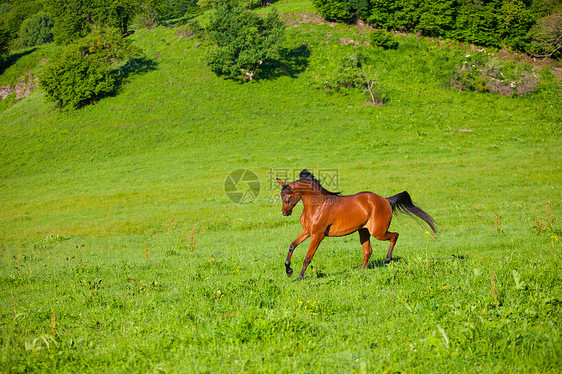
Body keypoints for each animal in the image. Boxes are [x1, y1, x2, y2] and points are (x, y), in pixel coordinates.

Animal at [274, 169, 436, 280]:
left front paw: (299, 277)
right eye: (281, 195)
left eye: (288, 196)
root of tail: (385, 200)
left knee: (395, 235)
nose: (285, 213)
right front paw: (289, 271)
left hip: (378, 232)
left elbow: (308, 257)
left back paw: (387, 259)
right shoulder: (307, 231)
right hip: (363, 231)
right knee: (368, 251)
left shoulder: (317, 236)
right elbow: (292, 246)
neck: (317, 206)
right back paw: (361, 271)